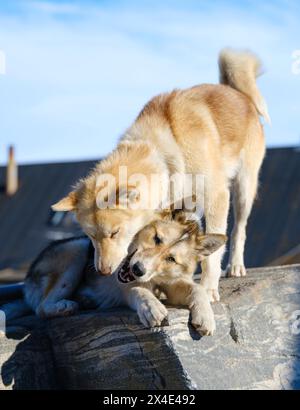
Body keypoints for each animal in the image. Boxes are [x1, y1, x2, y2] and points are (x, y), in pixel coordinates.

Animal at [14, 211, 225, 336]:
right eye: (157, 238)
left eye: (171, 259)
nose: (138, 269)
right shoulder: (125, 287)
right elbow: (138, 290)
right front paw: (151, 307)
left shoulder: (171, 284)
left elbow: (196, 288)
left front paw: (205, 316)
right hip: (77, 248)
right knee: (41, 308)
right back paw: (64, 306)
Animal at [52, 48, 270, 304]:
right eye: (90, 236)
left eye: (114, 233)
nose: (104, 271)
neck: (164, 149)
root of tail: (236, 92)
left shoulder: (216, 197)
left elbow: (211, 254)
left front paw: (207, 288)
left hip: (243, 190)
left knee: (239, 231)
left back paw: (235, 266)